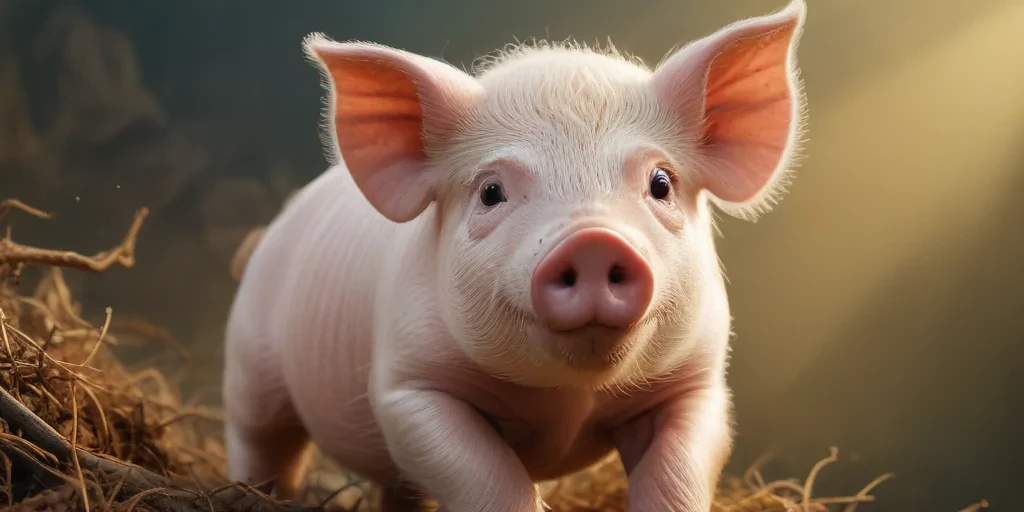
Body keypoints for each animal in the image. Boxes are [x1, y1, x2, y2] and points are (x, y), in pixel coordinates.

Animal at [221, 1, 808, 510]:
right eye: (491, 192)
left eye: (660, 183)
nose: (593, 240)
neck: (570, 398)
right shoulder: (408, 387)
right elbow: (488, 476)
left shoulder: (698, 384)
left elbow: (677, 475)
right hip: (251, 366)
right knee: (262, 444)